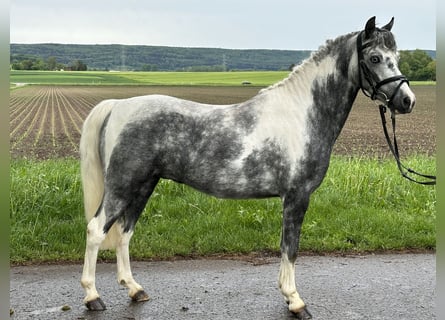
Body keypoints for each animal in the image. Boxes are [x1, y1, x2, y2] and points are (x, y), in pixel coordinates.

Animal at [80, 16, 416, 318]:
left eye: (396, 57)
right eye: (374, 58)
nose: (407, 100)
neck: (302, 115)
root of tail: (118, 106)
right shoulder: (297, 197)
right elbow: (290, 247)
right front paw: (295, 301)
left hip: (143, 185)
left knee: (124, 233)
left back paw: (135, 290)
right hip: (122, 185)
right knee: (97, 230)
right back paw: (93, 297)